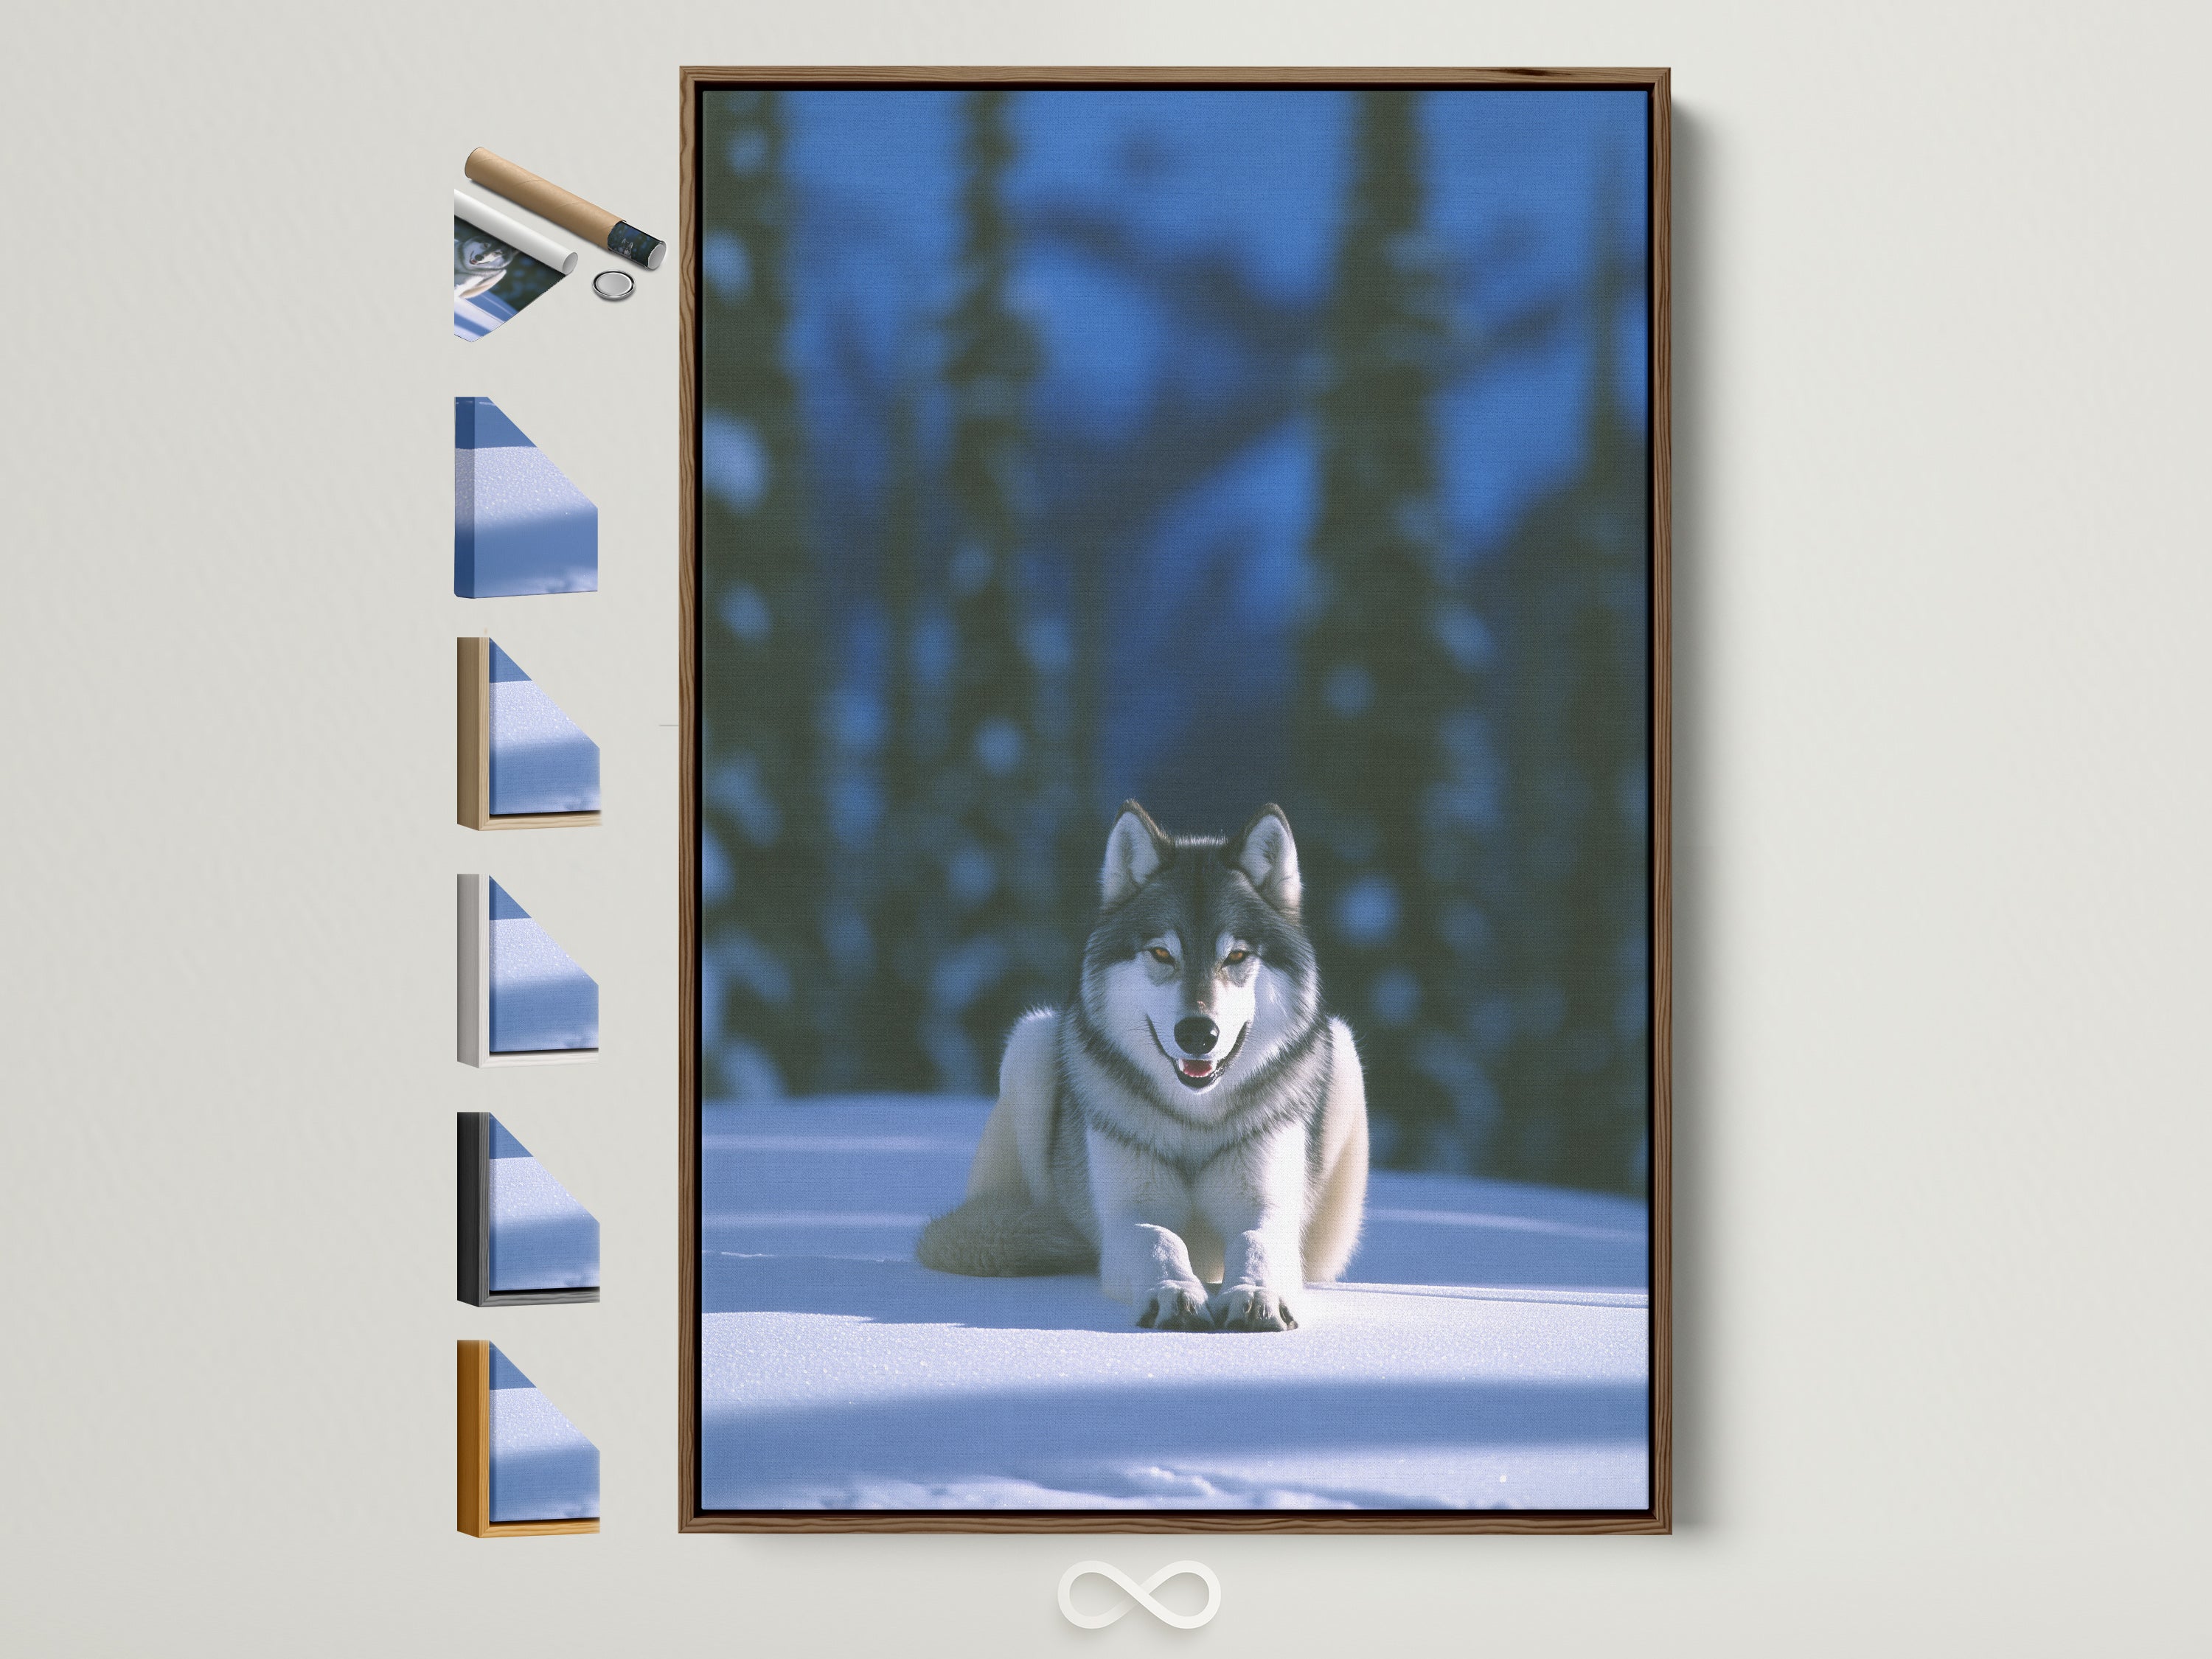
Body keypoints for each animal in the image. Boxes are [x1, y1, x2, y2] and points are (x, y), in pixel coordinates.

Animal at [916, 801, 1368, 1332]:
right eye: (1161, 953)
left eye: (1236, 955)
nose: (1198, 1033)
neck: (1195, 1118)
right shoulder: (1126, 1218)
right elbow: (1159, 1239)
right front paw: (1174, 1293)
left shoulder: (1267, 1209)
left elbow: (1255, 1241)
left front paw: (1256, 1294)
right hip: (1030, 1043)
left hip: (1346, 1054)